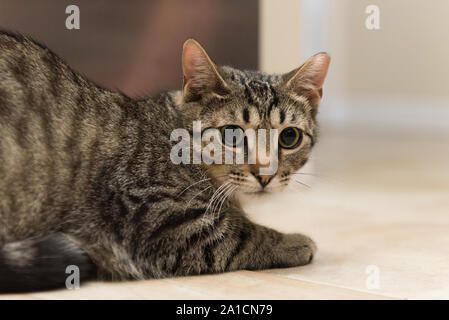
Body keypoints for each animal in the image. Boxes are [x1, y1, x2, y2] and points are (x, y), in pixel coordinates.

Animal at [0, 31, 328, 292]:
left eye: (289, 137)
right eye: (232, 135)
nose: (265, 174)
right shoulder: (155, 214)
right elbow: (242, 235)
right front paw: (293, 242)